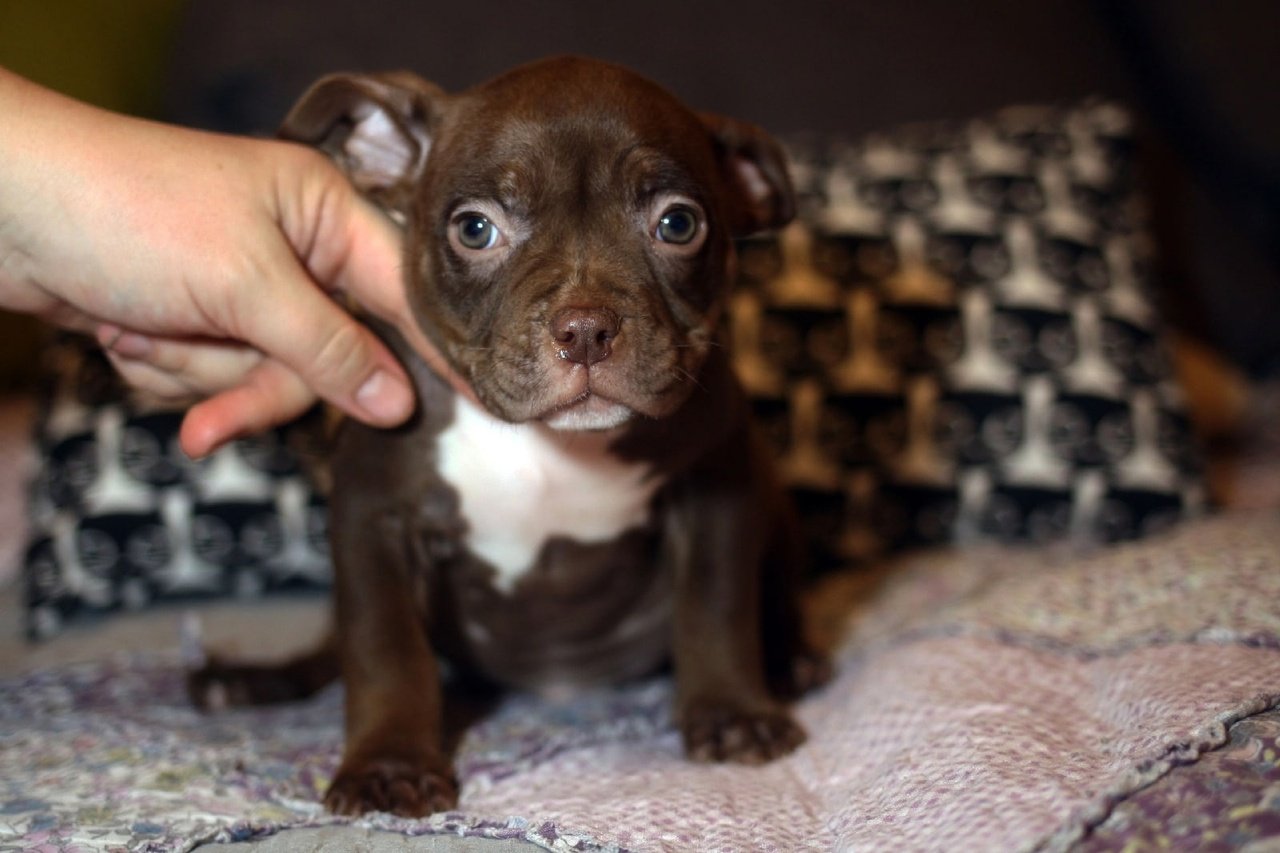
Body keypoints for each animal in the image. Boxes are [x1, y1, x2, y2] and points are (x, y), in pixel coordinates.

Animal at [189, 55, 828, 818]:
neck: (545, 445)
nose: (586, 327)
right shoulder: (373, 519)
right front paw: (389, 764)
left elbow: (717, 607)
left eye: (678, 223)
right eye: (474, 230)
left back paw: (791, 661)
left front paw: (733, 712)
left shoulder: (718, 489)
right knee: (331, 646)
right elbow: (382, 648)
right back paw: (251, 681)